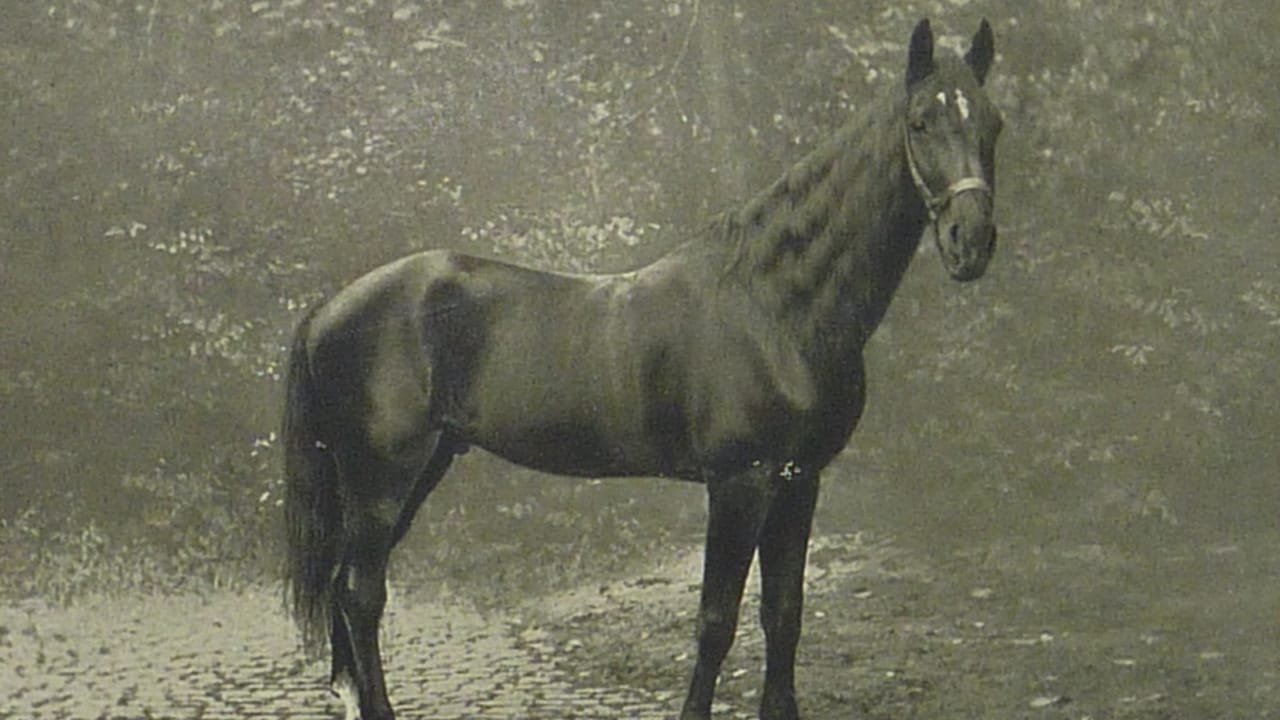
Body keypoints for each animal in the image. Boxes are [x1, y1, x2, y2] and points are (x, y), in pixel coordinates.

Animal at [283, 18, 1001, 720]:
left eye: (992, 123)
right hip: (383, 477)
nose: (972, 241)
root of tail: (327, 308)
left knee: (349, 588)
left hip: (413, 471)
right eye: (920, 121)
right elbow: (716, 620)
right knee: (361, 593)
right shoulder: (740, 482)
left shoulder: (800, 480)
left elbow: (784, 614)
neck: (776, 306)